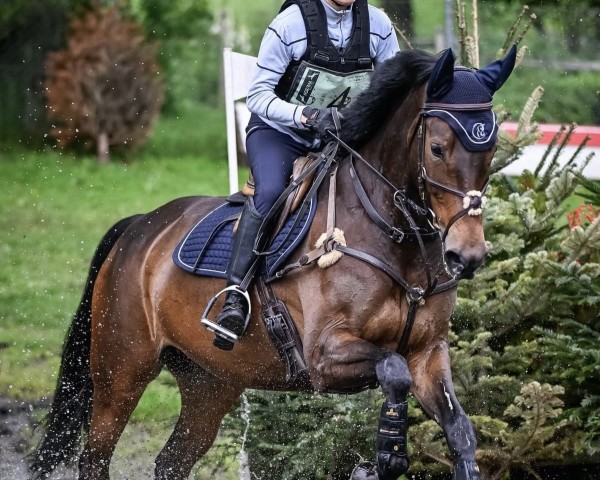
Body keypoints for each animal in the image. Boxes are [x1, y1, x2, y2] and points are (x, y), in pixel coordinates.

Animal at [29, 46, 516, 480]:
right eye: (437, 148)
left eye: (492, 150)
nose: (466, 256)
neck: (393, 233)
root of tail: (139, 227)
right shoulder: (324, 356)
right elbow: (392, 372)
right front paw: (388, 453)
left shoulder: (427, 354)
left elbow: (459, 430)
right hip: (122, 371)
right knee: (95, 457)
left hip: (210, 381)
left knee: (172, 461)